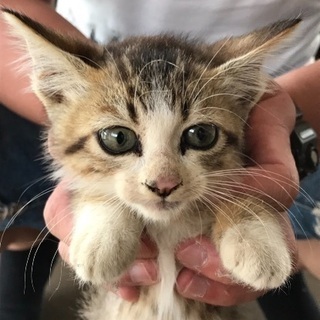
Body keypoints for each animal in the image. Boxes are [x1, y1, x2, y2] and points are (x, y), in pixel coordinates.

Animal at [1, 10, 298, 320]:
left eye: (201, 135)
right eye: (118, 138)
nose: (164, 184)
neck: (166, 225)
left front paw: (256, 241)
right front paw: (102, 238)